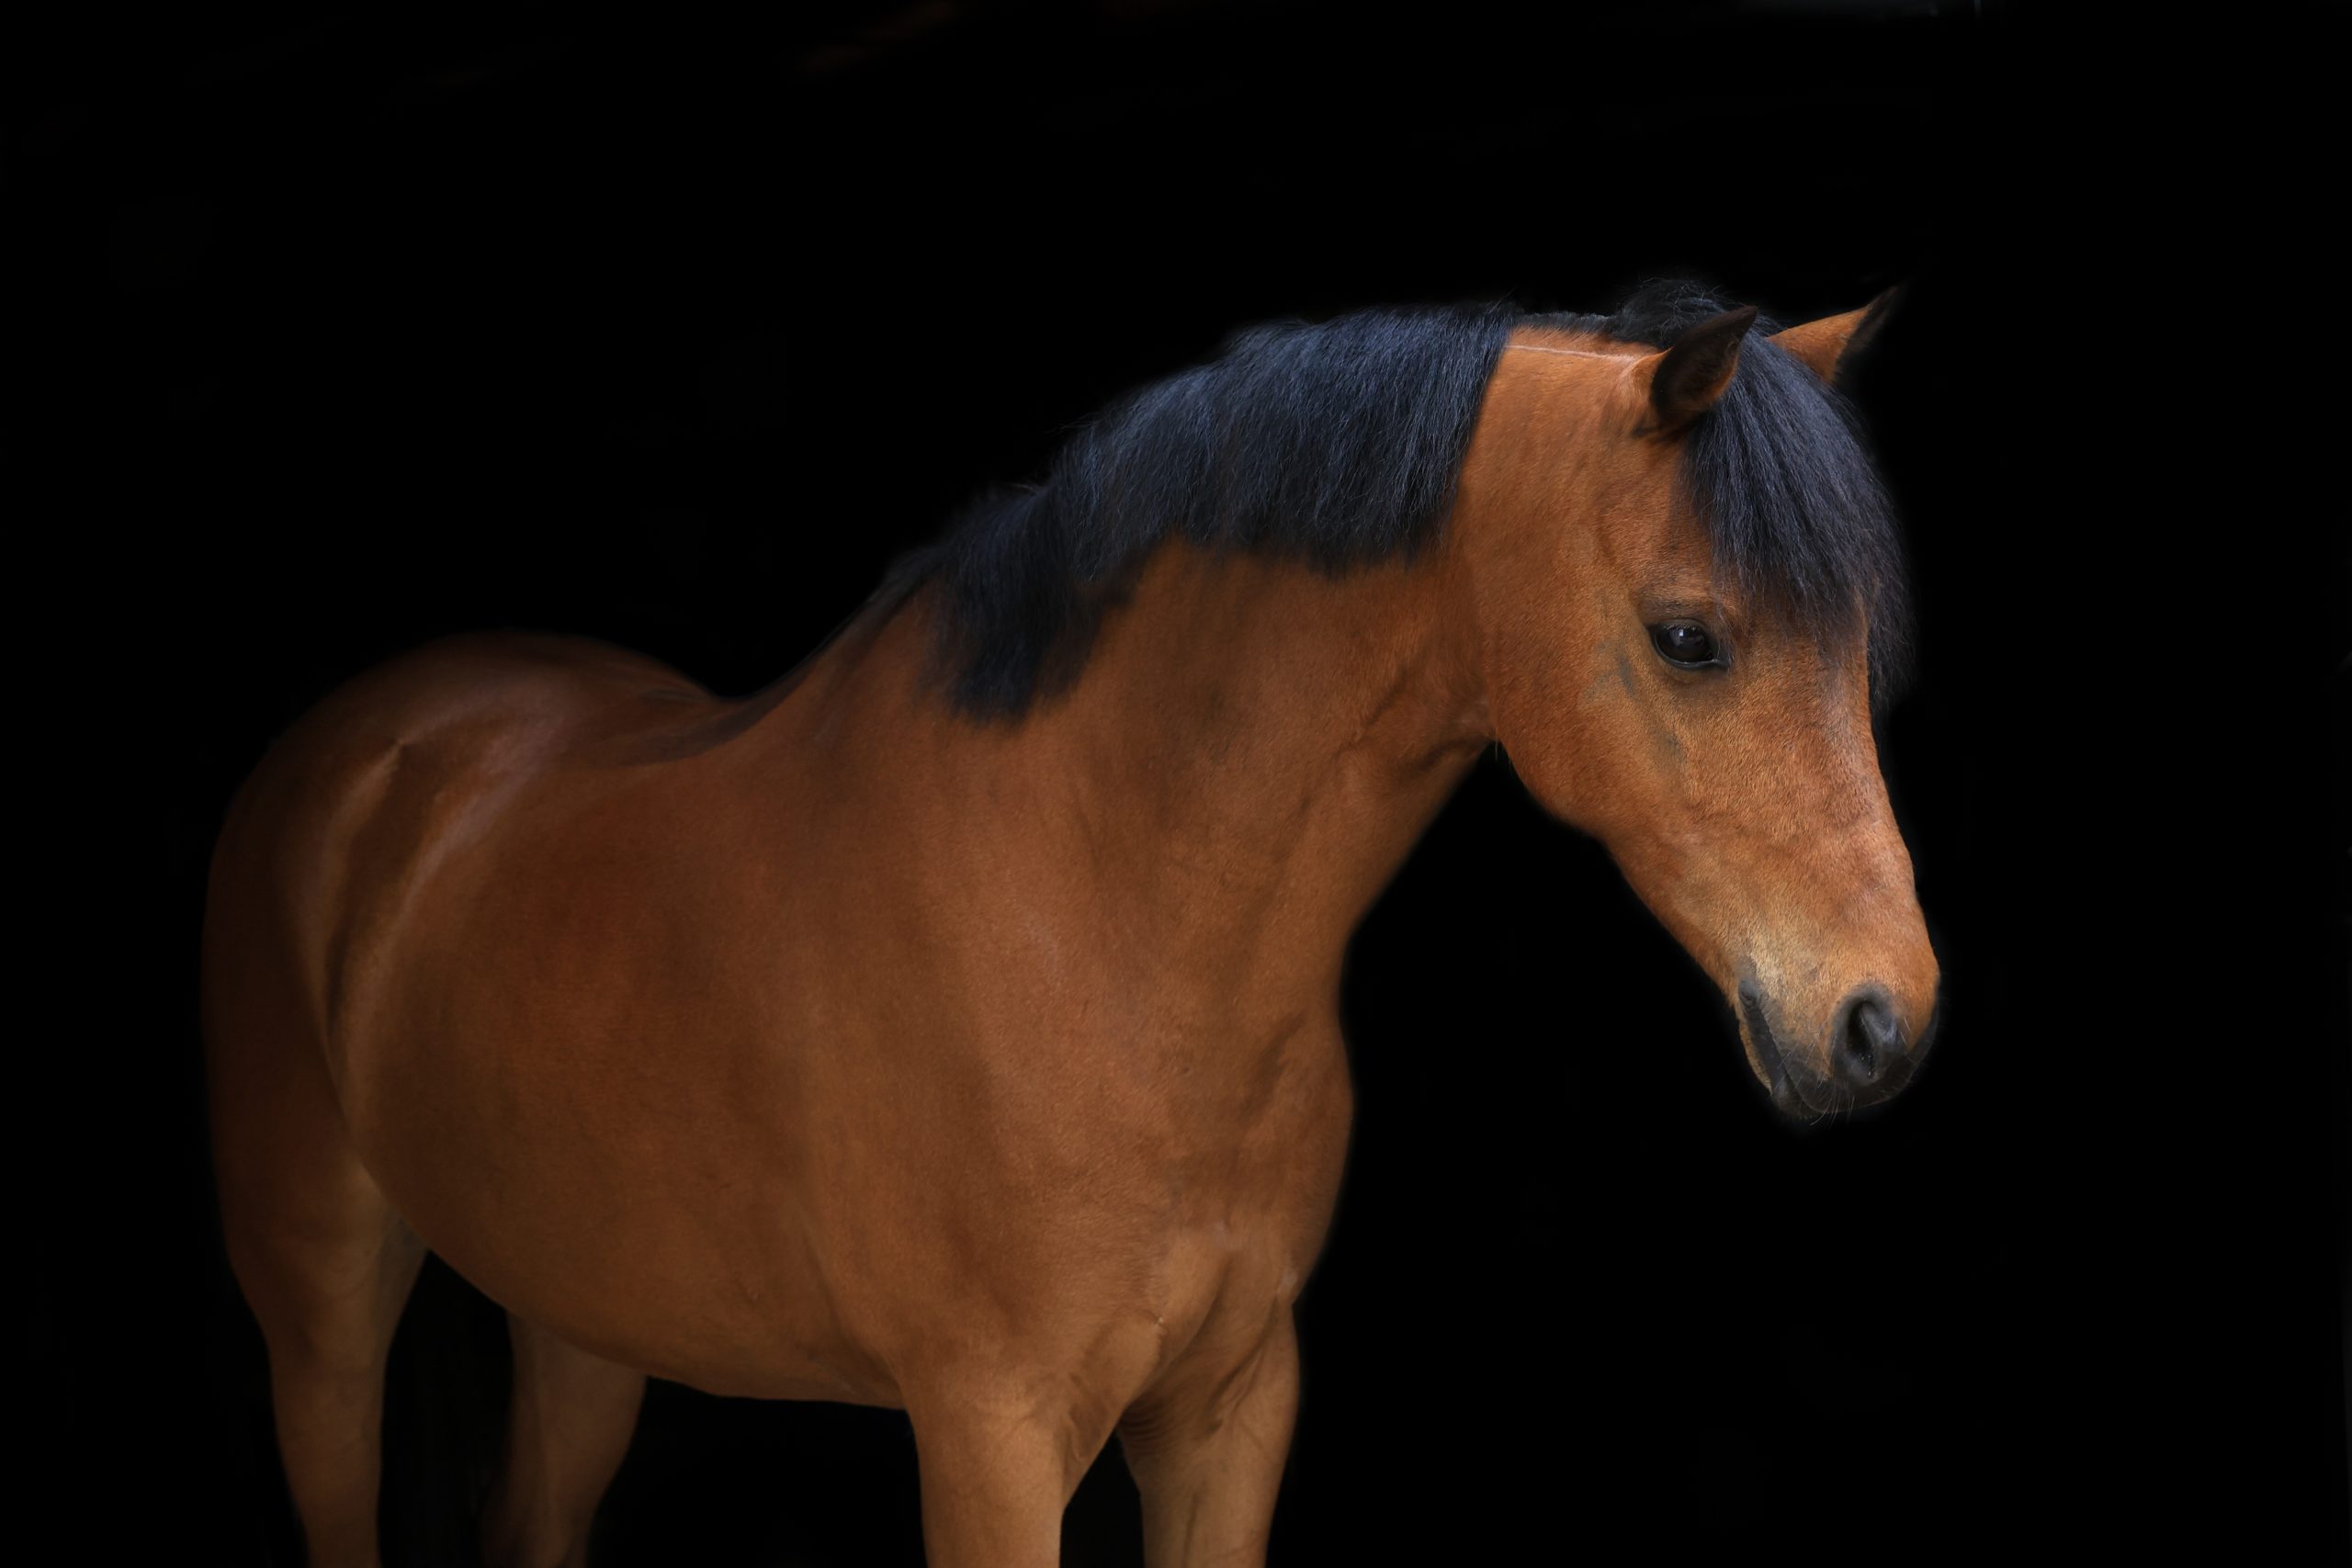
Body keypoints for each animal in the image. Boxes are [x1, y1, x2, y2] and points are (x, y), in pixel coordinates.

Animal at [202, 279, 1940, 1567]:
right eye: (1689, 636)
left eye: (1857, 637)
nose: (1884, 1019)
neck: (1108, 916)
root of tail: (365, 745)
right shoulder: (991, 1435)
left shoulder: (1231, 1410)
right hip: (320, 1314)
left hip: (583, 1323)